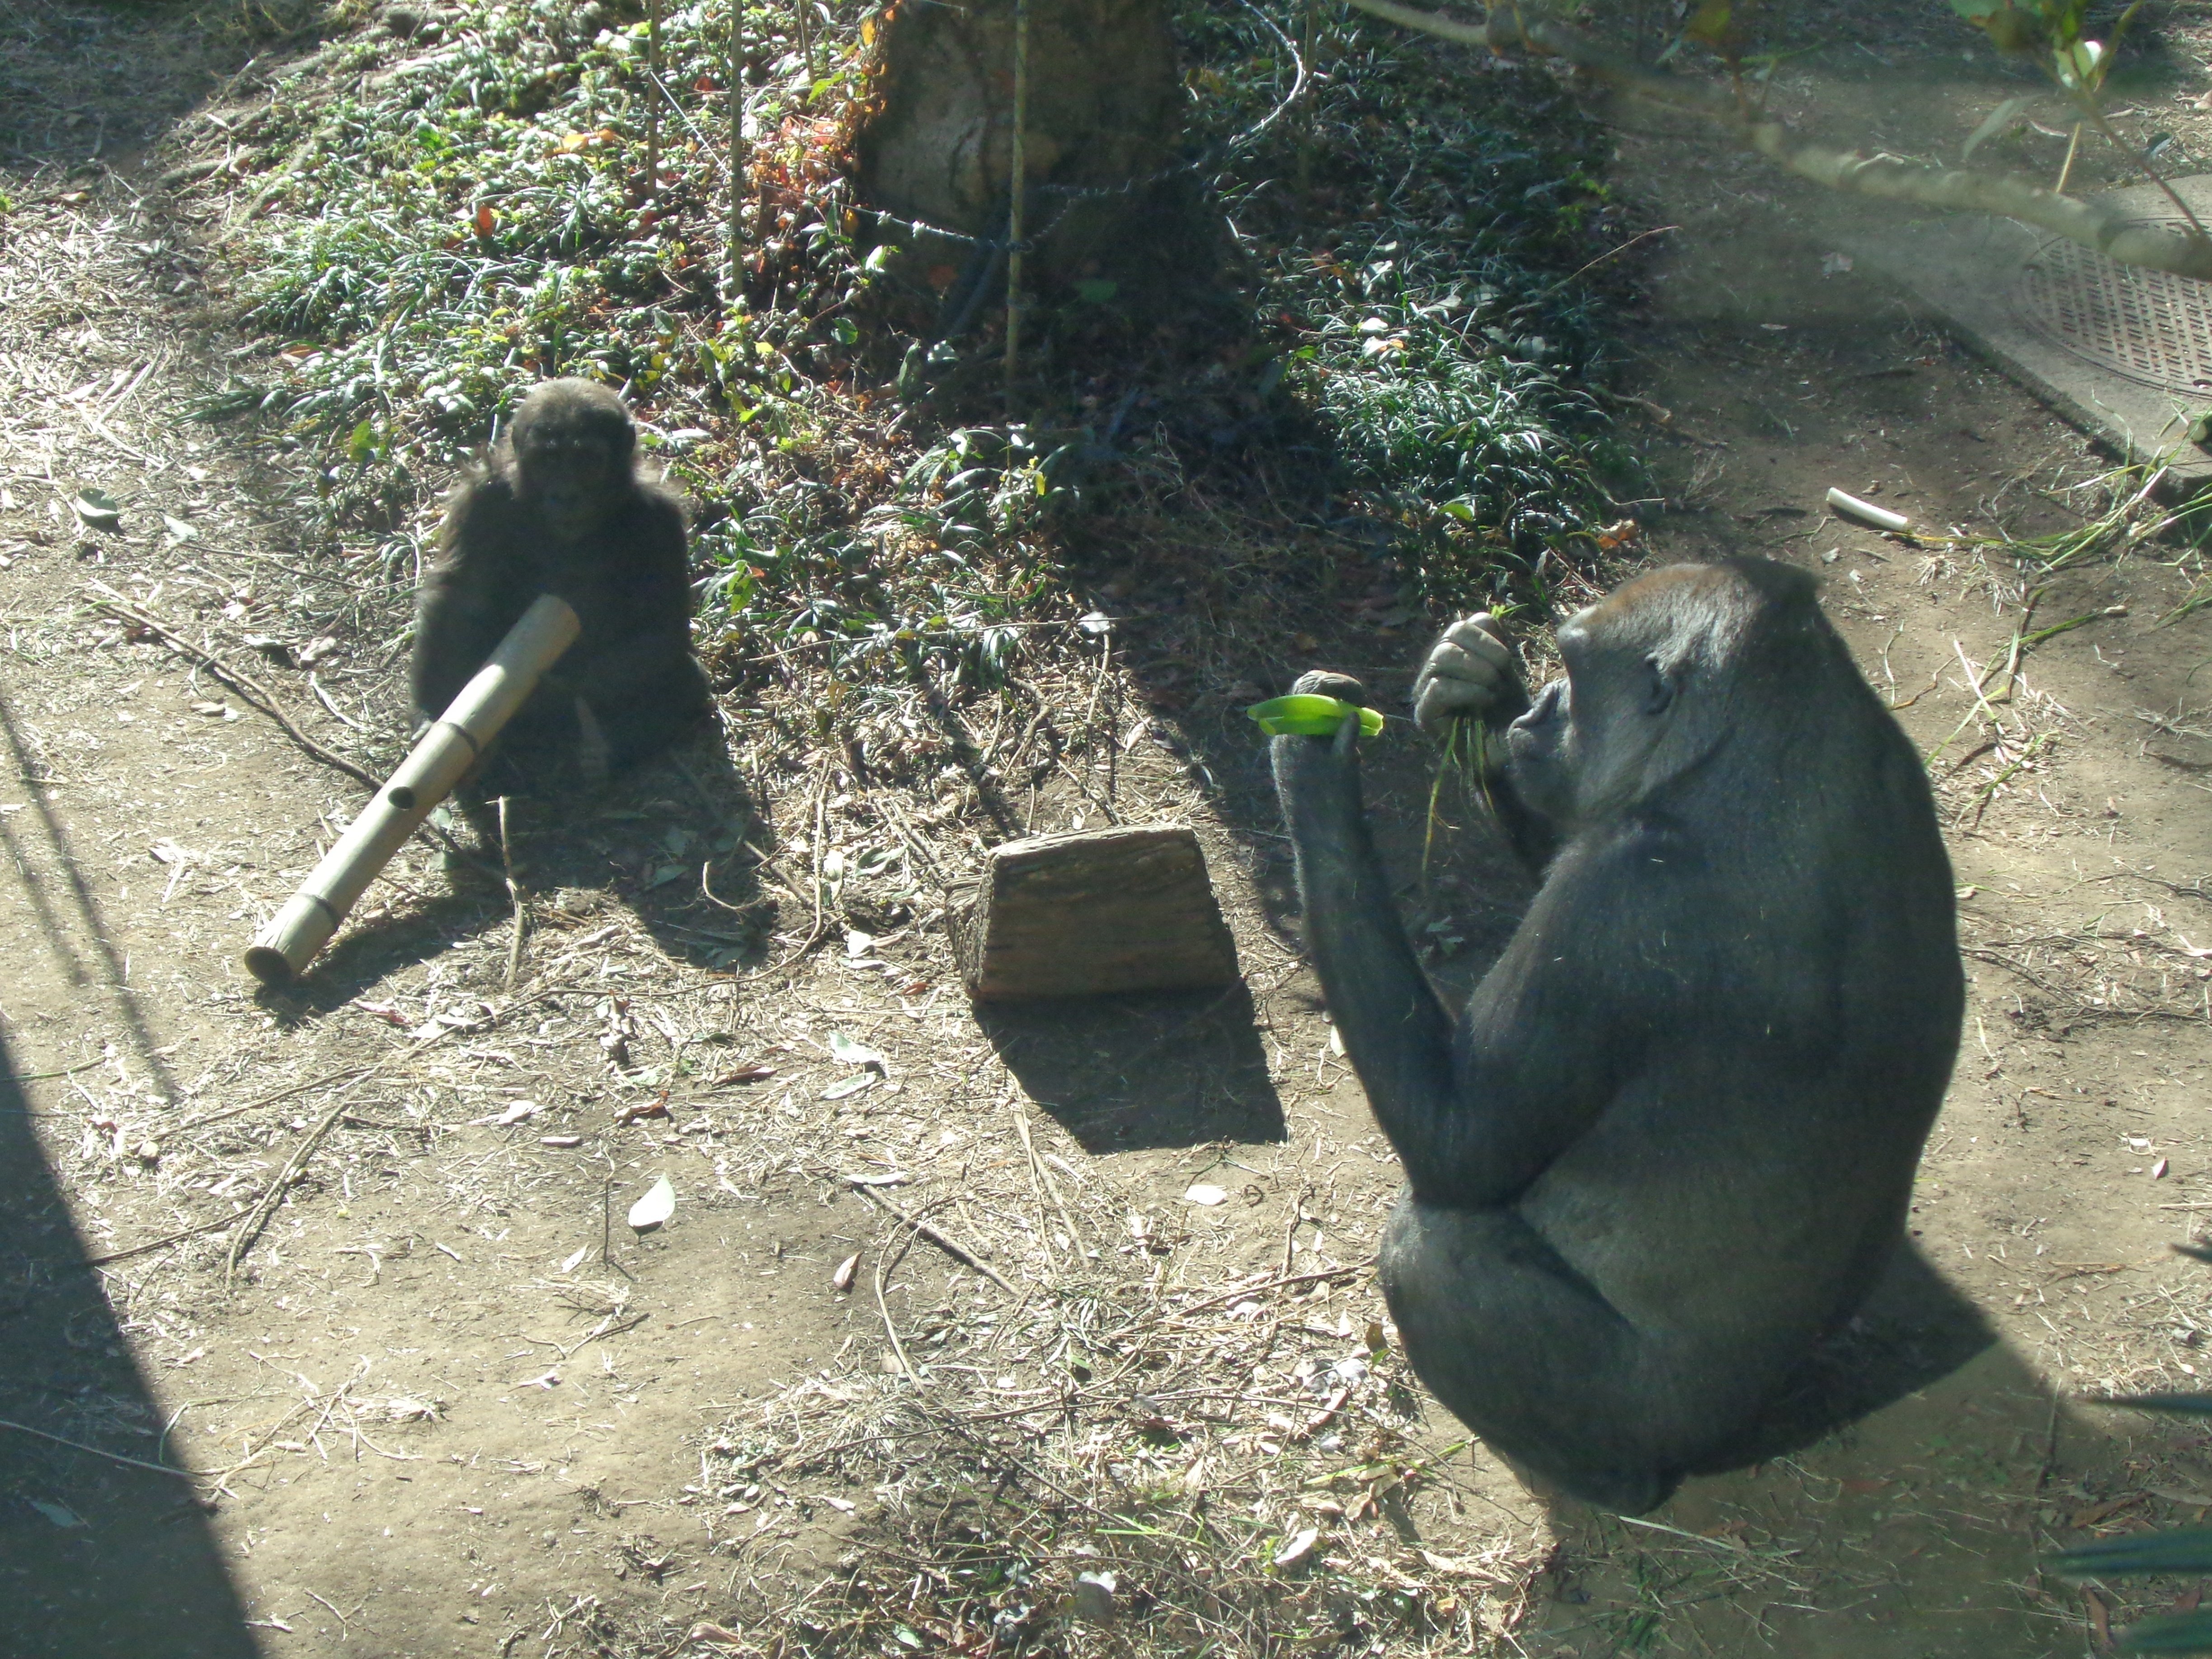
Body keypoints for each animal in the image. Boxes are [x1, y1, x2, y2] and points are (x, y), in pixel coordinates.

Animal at [414, 380, 708, 796]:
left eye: (586, 460)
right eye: (548, 461)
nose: (566, 495)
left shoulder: (660, 519)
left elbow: (663, 628)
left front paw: (554, 691)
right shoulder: (482, 497)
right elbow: (461, 599)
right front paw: (430, 713)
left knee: (687, 681)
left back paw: (603, 752)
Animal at [1274, 561, 1964, 1522]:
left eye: (1572, 669)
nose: (1536, 711)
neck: (1754, 743)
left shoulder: (1623, 892)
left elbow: (1458, 1149)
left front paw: (1311, 762)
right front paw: (1477, 687)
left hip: (1652, 1421)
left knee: (1429, 1252)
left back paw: (1595, 1474)